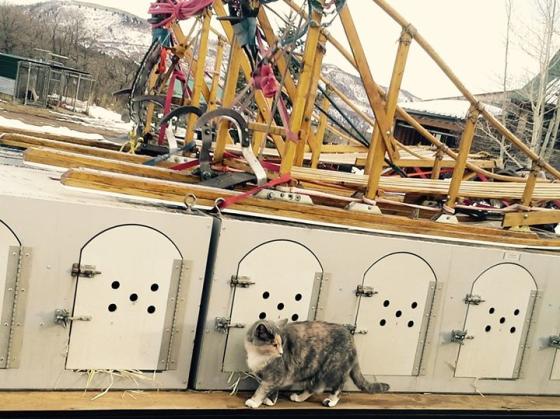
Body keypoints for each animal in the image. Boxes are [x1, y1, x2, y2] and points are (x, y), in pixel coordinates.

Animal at [243, 320, 390, 408]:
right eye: (274, 344)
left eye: (282, 344)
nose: (281, 352)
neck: (258, 354)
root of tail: (350, 336)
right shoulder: (277, 376)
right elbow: (273, 388)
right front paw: (270, 400)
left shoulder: (275, 374)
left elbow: (262, 388)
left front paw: (254, 401)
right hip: (317, 370)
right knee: (314, 387)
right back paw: (299, 397)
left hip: (332, 368)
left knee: (336, 386)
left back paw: (331, 400)